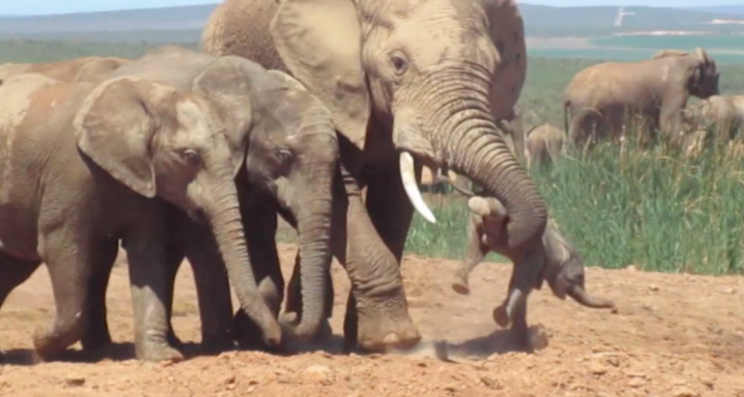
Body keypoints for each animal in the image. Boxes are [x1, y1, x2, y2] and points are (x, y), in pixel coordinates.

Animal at [0, 70, 282, 358]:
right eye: (190, 157)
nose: (273, 339)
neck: (153, 100)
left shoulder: (146, 181)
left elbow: (147, 251)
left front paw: (163, 358)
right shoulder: (70, 173)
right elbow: (63, 247)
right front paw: (40, 344)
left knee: (11, 269)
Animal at [80, 44, 338, 354]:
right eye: (283, 156)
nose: (286, 326)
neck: (259, 92)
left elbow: (260, 236)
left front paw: (248, 333)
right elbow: (205, 239)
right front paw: (228, 340)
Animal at [201, 0, 548, 350]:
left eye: (492, 66)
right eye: (398, 63)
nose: (490, 214)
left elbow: (394, 201)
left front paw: (367, 337)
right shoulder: (323, 85)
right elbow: (341, 196)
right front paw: (392, 338)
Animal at [564, 46, 720, 148]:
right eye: (718, 76)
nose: (716, 94)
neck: (689, 59)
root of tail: (568, 93)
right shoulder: (675, 88)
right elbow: (669, 121)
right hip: (583, 109)